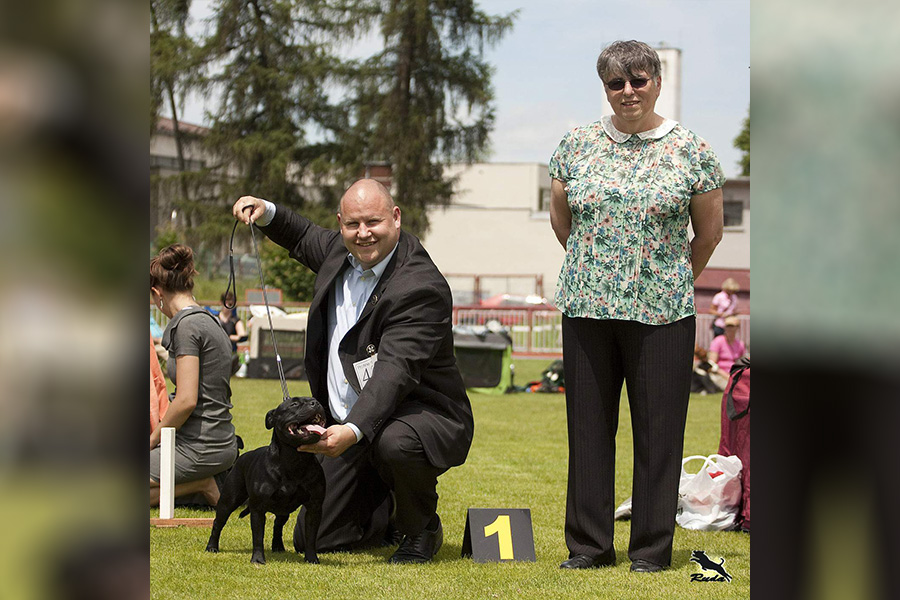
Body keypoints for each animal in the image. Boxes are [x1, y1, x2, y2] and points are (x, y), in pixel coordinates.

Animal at [207, 398, 326, 564]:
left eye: (315, 400)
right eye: (294, 404)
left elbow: (310, 536)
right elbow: (258, 536)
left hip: (284, 509)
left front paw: (311, 558)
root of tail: (242, 457)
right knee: (218, 522)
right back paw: (212, 547)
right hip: (228, 500)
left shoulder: (314, 507)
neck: (295, 459)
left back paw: (278, 547)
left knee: (278, 525)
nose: (316, 403)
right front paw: (257, 559)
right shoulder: (258, 508)